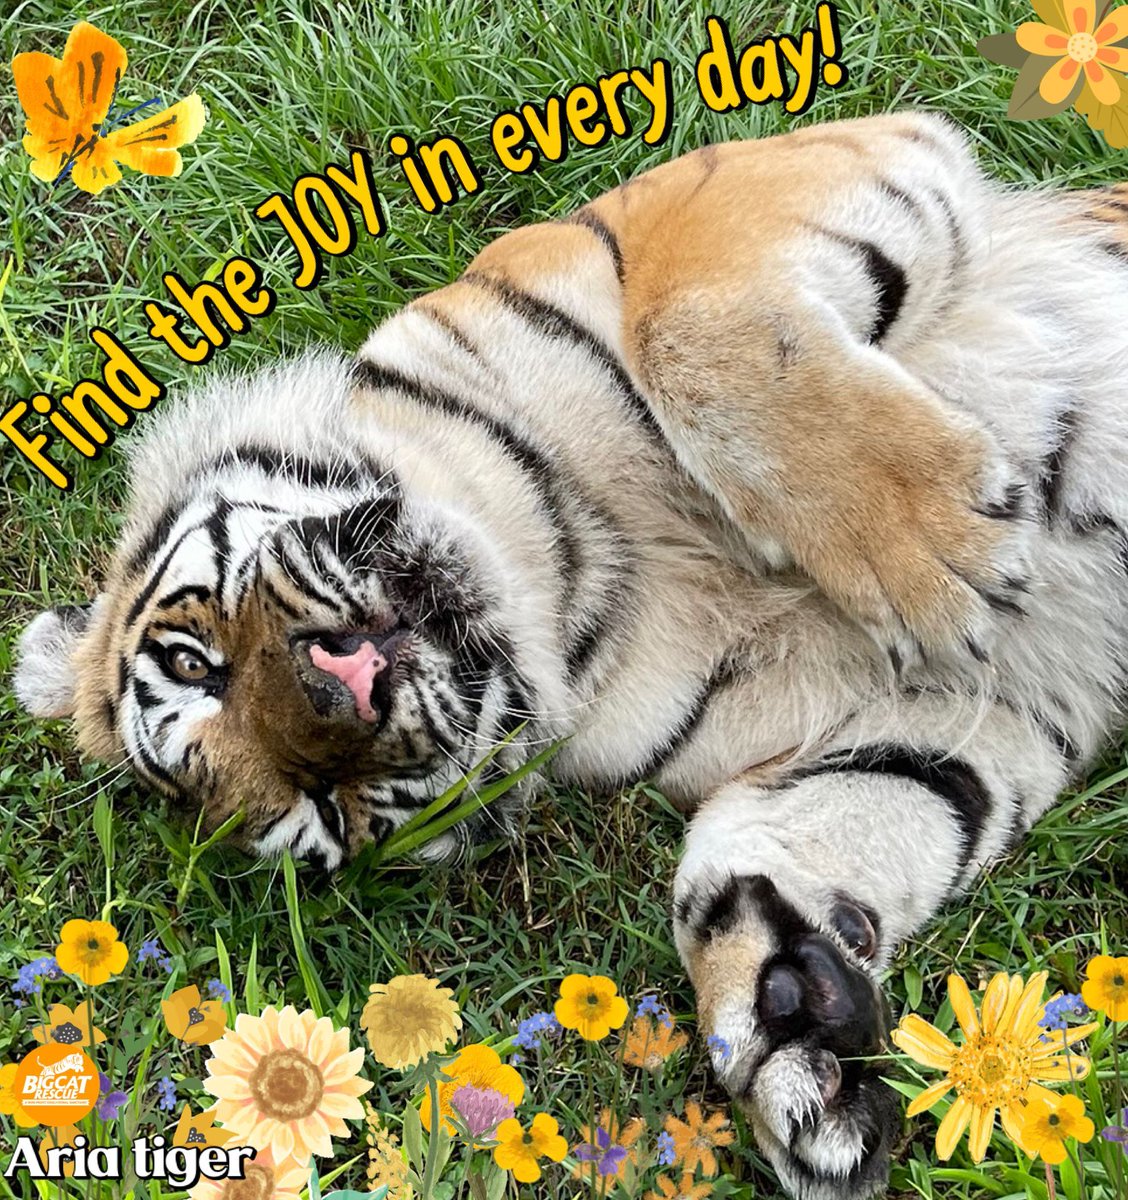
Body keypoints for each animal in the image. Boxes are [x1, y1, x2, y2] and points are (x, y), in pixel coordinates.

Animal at [14, 110, 1128, 1198]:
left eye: (197, 665)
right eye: (319, 806)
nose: (345, 706)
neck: (587, 572)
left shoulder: (749, 189)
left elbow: (687, 328)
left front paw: (948, 551)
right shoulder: (968, 711)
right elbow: (793, 832)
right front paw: (783, 1032)